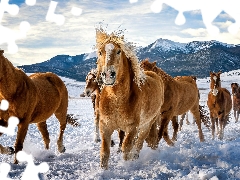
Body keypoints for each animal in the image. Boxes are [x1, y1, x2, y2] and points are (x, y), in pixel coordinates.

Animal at [94, 28, 164, 169]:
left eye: (118, 51)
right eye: (100, 52)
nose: (108, 75)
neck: (116, 100)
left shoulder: (132, 128)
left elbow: (126, 148)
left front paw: (126, 166)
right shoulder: (105, 127)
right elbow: (104, 152)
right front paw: (103, 170)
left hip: (147, 124)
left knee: (139, 144)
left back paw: (135, 158)